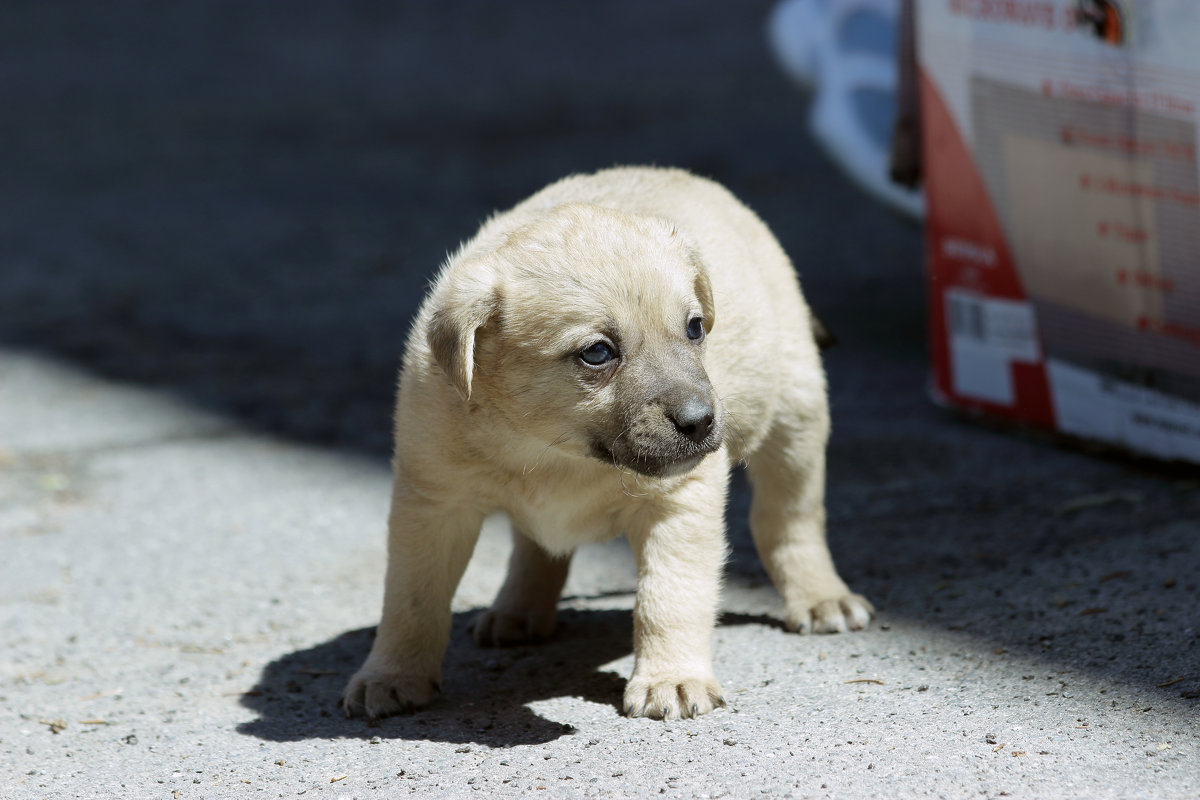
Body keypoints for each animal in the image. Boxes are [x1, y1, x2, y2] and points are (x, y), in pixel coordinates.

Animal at [338, 167, 873, 719]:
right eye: (597, 352)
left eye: (694, 329)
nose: (702, 422)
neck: (549, 450)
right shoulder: (432, 507)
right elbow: (411, 600)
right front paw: (391, 675)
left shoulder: (678, 505)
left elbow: (667, 597)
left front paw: (671, 679)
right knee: (534, 548)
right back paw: (517, 610)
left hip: (796, 419)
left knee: (789, 519)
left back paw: (820, 597)